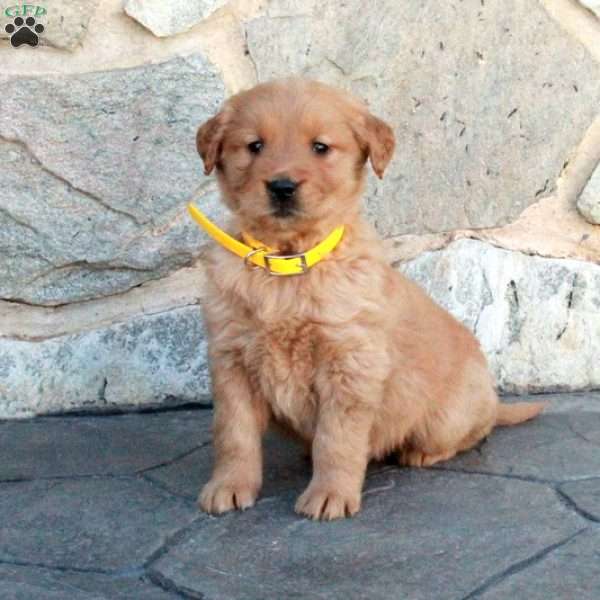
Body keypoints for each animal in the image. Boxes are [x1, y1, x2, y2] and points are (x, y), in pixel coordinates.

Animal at [193, 78, 544, 520]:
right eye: (254, 146)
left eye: (320, 147)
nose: (282, 187)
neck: (288, 265)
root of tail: (493, 403)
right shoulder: (231, 360)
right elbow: (233, 433)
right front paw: (228, 486)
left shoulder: (350, 364)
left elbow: (337, 439)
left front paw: (330, 494)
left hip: (448, 418)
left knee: (470, 434)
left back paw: (419, 453)